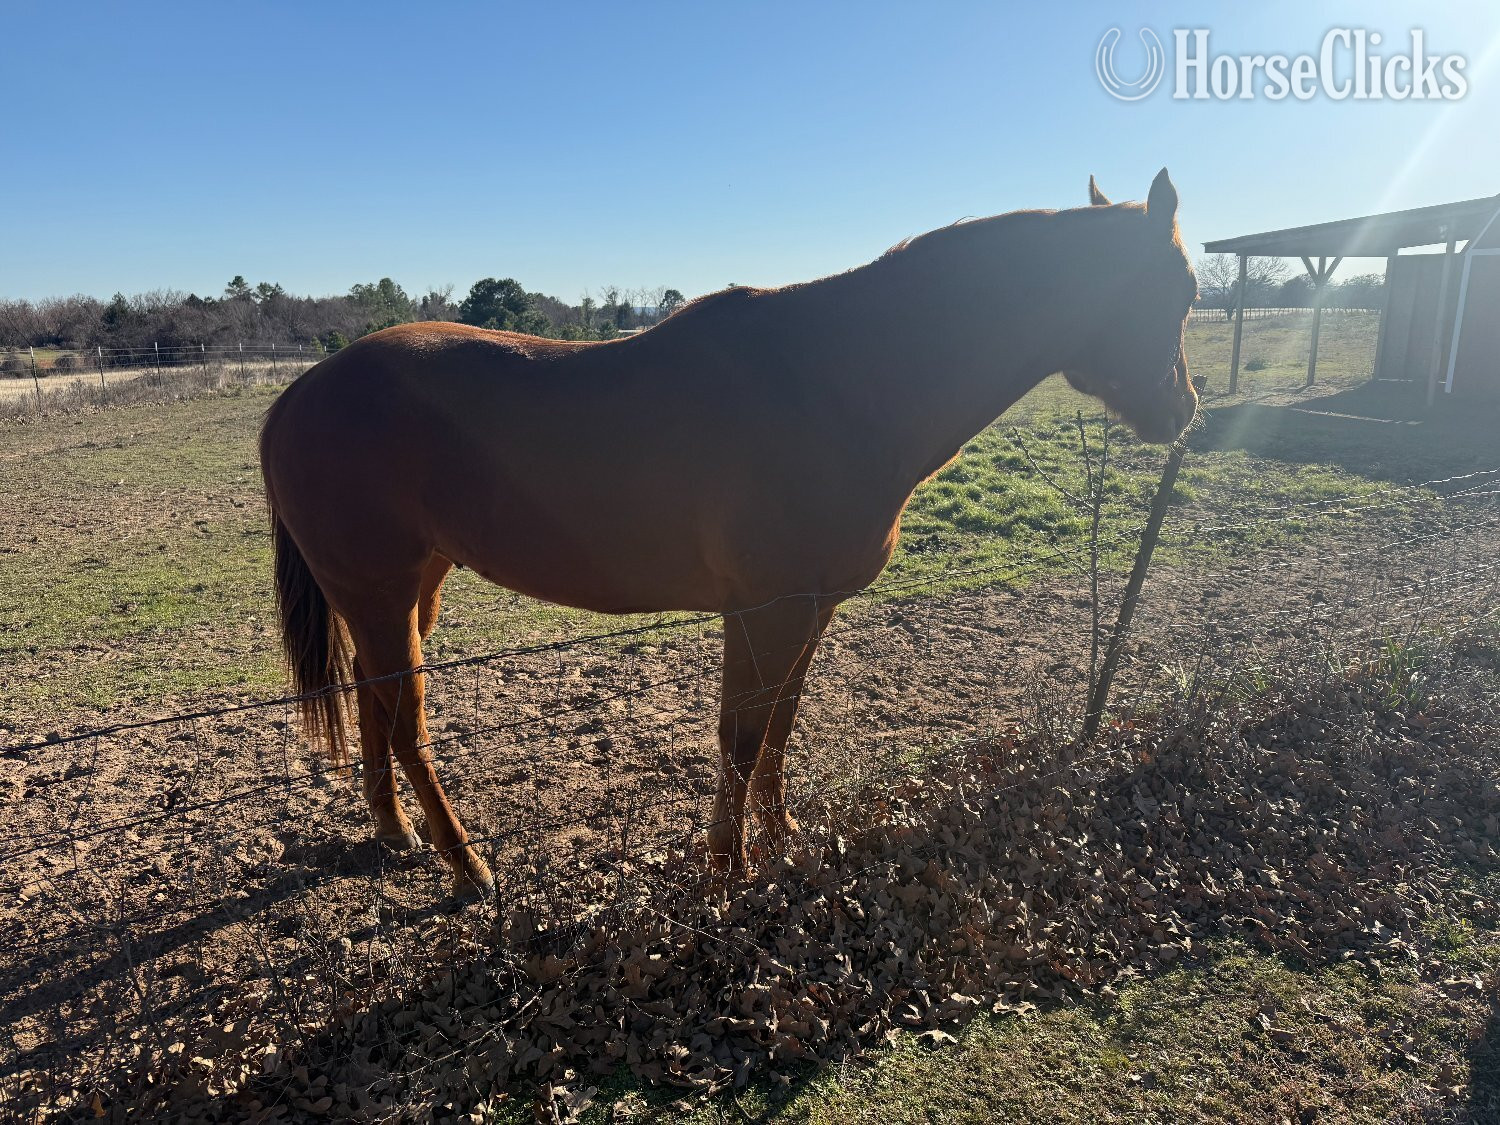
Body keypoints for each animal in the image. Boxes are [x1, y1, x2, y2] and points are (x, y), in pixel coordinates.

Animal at [259, 170, 1199, 899]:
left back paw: (396, 833)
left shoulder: (810, 605)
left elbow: (779, 725)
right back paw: (467, 865)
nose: (1182, 411)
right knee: (407, 723)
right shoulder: (764, 608)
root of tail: (298, 395)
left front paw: (780, 841)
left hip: (411, 587)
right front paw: (724, 870)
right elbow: (742, 739)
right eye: (1182, 289)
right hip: (382, 594)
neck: (836, 383)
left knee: (375, 700)